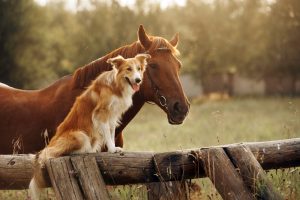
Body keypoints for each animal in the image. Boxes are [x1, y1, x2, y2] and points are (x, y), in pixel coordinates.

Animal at [28, 53, 150, 200]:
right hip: (80, 135)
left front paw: (114, 148)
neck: (116, 85)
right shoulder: (102, 114)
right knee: (59, 152)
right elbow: (108, 134)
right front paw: (112, 150)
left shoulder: (113, 116)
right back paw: (83, 151)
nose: (138, 80)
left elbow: (111, 132)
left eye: (139, 68)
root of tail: (51, 144)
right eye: (128, 69)